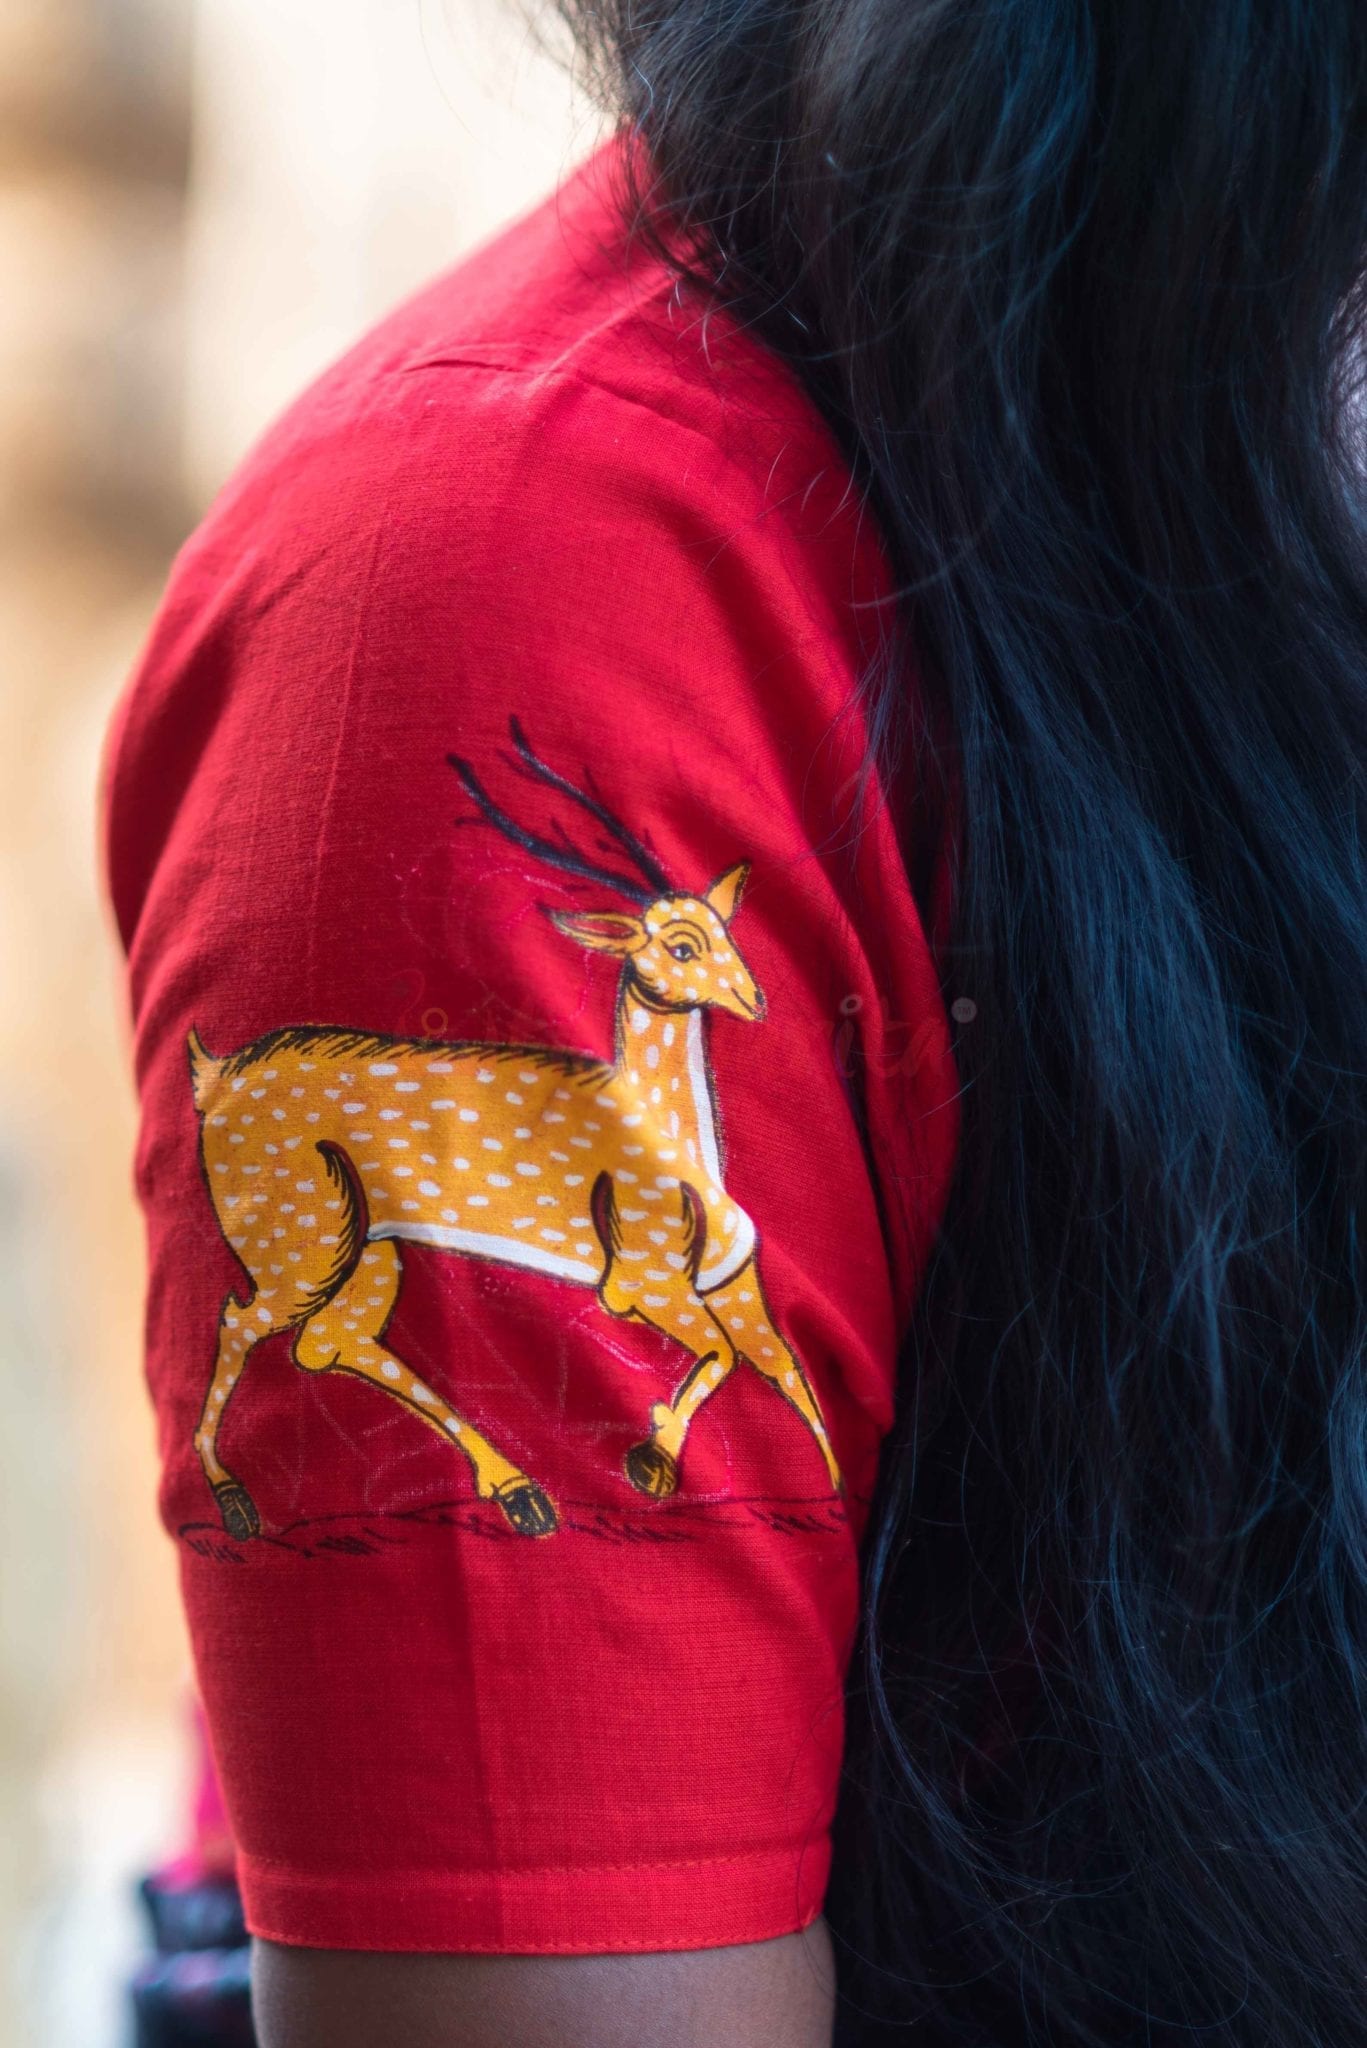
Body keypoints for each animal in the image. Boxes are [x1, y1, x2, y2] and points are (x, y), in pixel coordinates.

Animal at [187, 720, 840, 1540]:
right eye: (679, 945)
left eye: (723, 929)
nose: (754, 997)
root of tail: (212, 1076)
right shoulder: (639, 1282)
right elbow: (725, 1358)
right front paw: (649, 1460)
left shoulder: (733, 1279)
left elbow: (786, 1372)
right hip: (299, 1241)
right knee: (237, 1321)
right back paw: (235, 1502)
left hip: (368, 1247)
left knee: (328, 1342)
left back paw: (520, 1490)